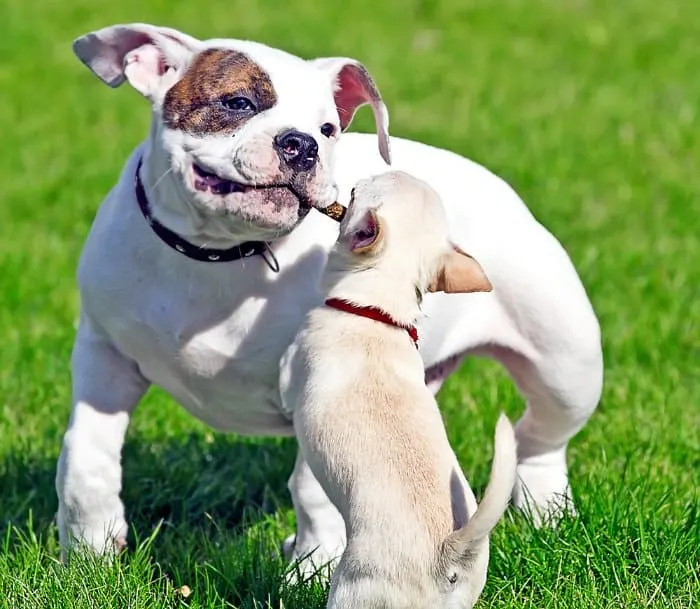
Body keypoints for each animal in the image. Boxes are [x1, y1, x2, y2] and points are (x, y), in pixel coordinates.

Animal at [280, 172, 520, 608]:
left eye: (360, 190)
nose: (357, 178)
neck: (377, 313)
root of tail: (447, 553)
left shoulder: (293, 369)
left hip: (353, 588)